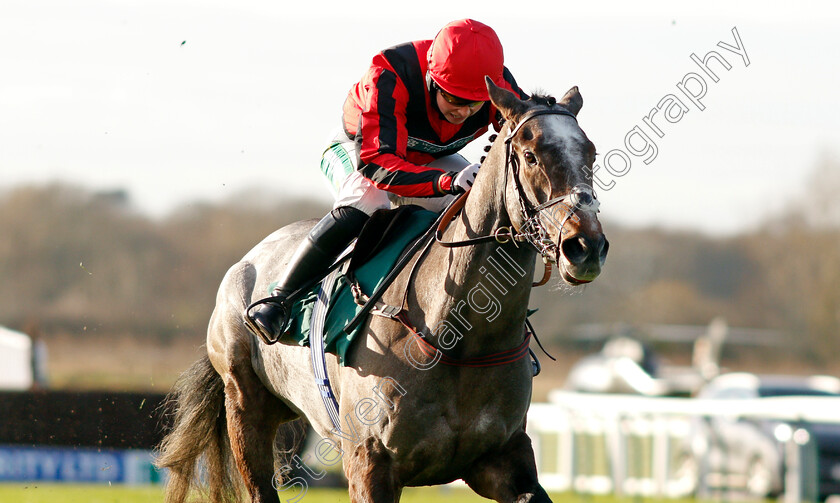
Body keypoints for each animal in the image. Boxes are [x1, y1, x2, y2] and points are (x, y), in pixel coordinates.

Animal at [154, 79, 608, 503]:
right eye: (531, 156)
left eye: (590, 153)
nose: (586, 247)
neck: (460, 336)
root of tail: (247, 260)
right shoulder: (370, 463)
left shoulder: (505, 459)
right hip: (246, 407)